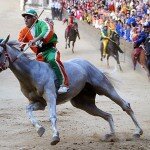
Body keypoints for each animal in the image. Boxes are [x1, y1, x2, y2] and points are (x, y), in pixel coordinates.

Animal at [0, 35, 143, 145]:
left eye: (0, 52)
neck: (31, 73)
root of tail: (88, 64)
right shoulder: (39, 103)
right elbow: (28, 111)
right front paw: (40, 129)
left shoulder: (50, 97)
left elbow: (52, 116)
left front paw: (55, 137)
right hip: (83, 103)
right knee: (107, 115)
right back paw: (111, 135)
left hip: (105, 88)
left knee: (125, 105)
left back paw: (138, 132)